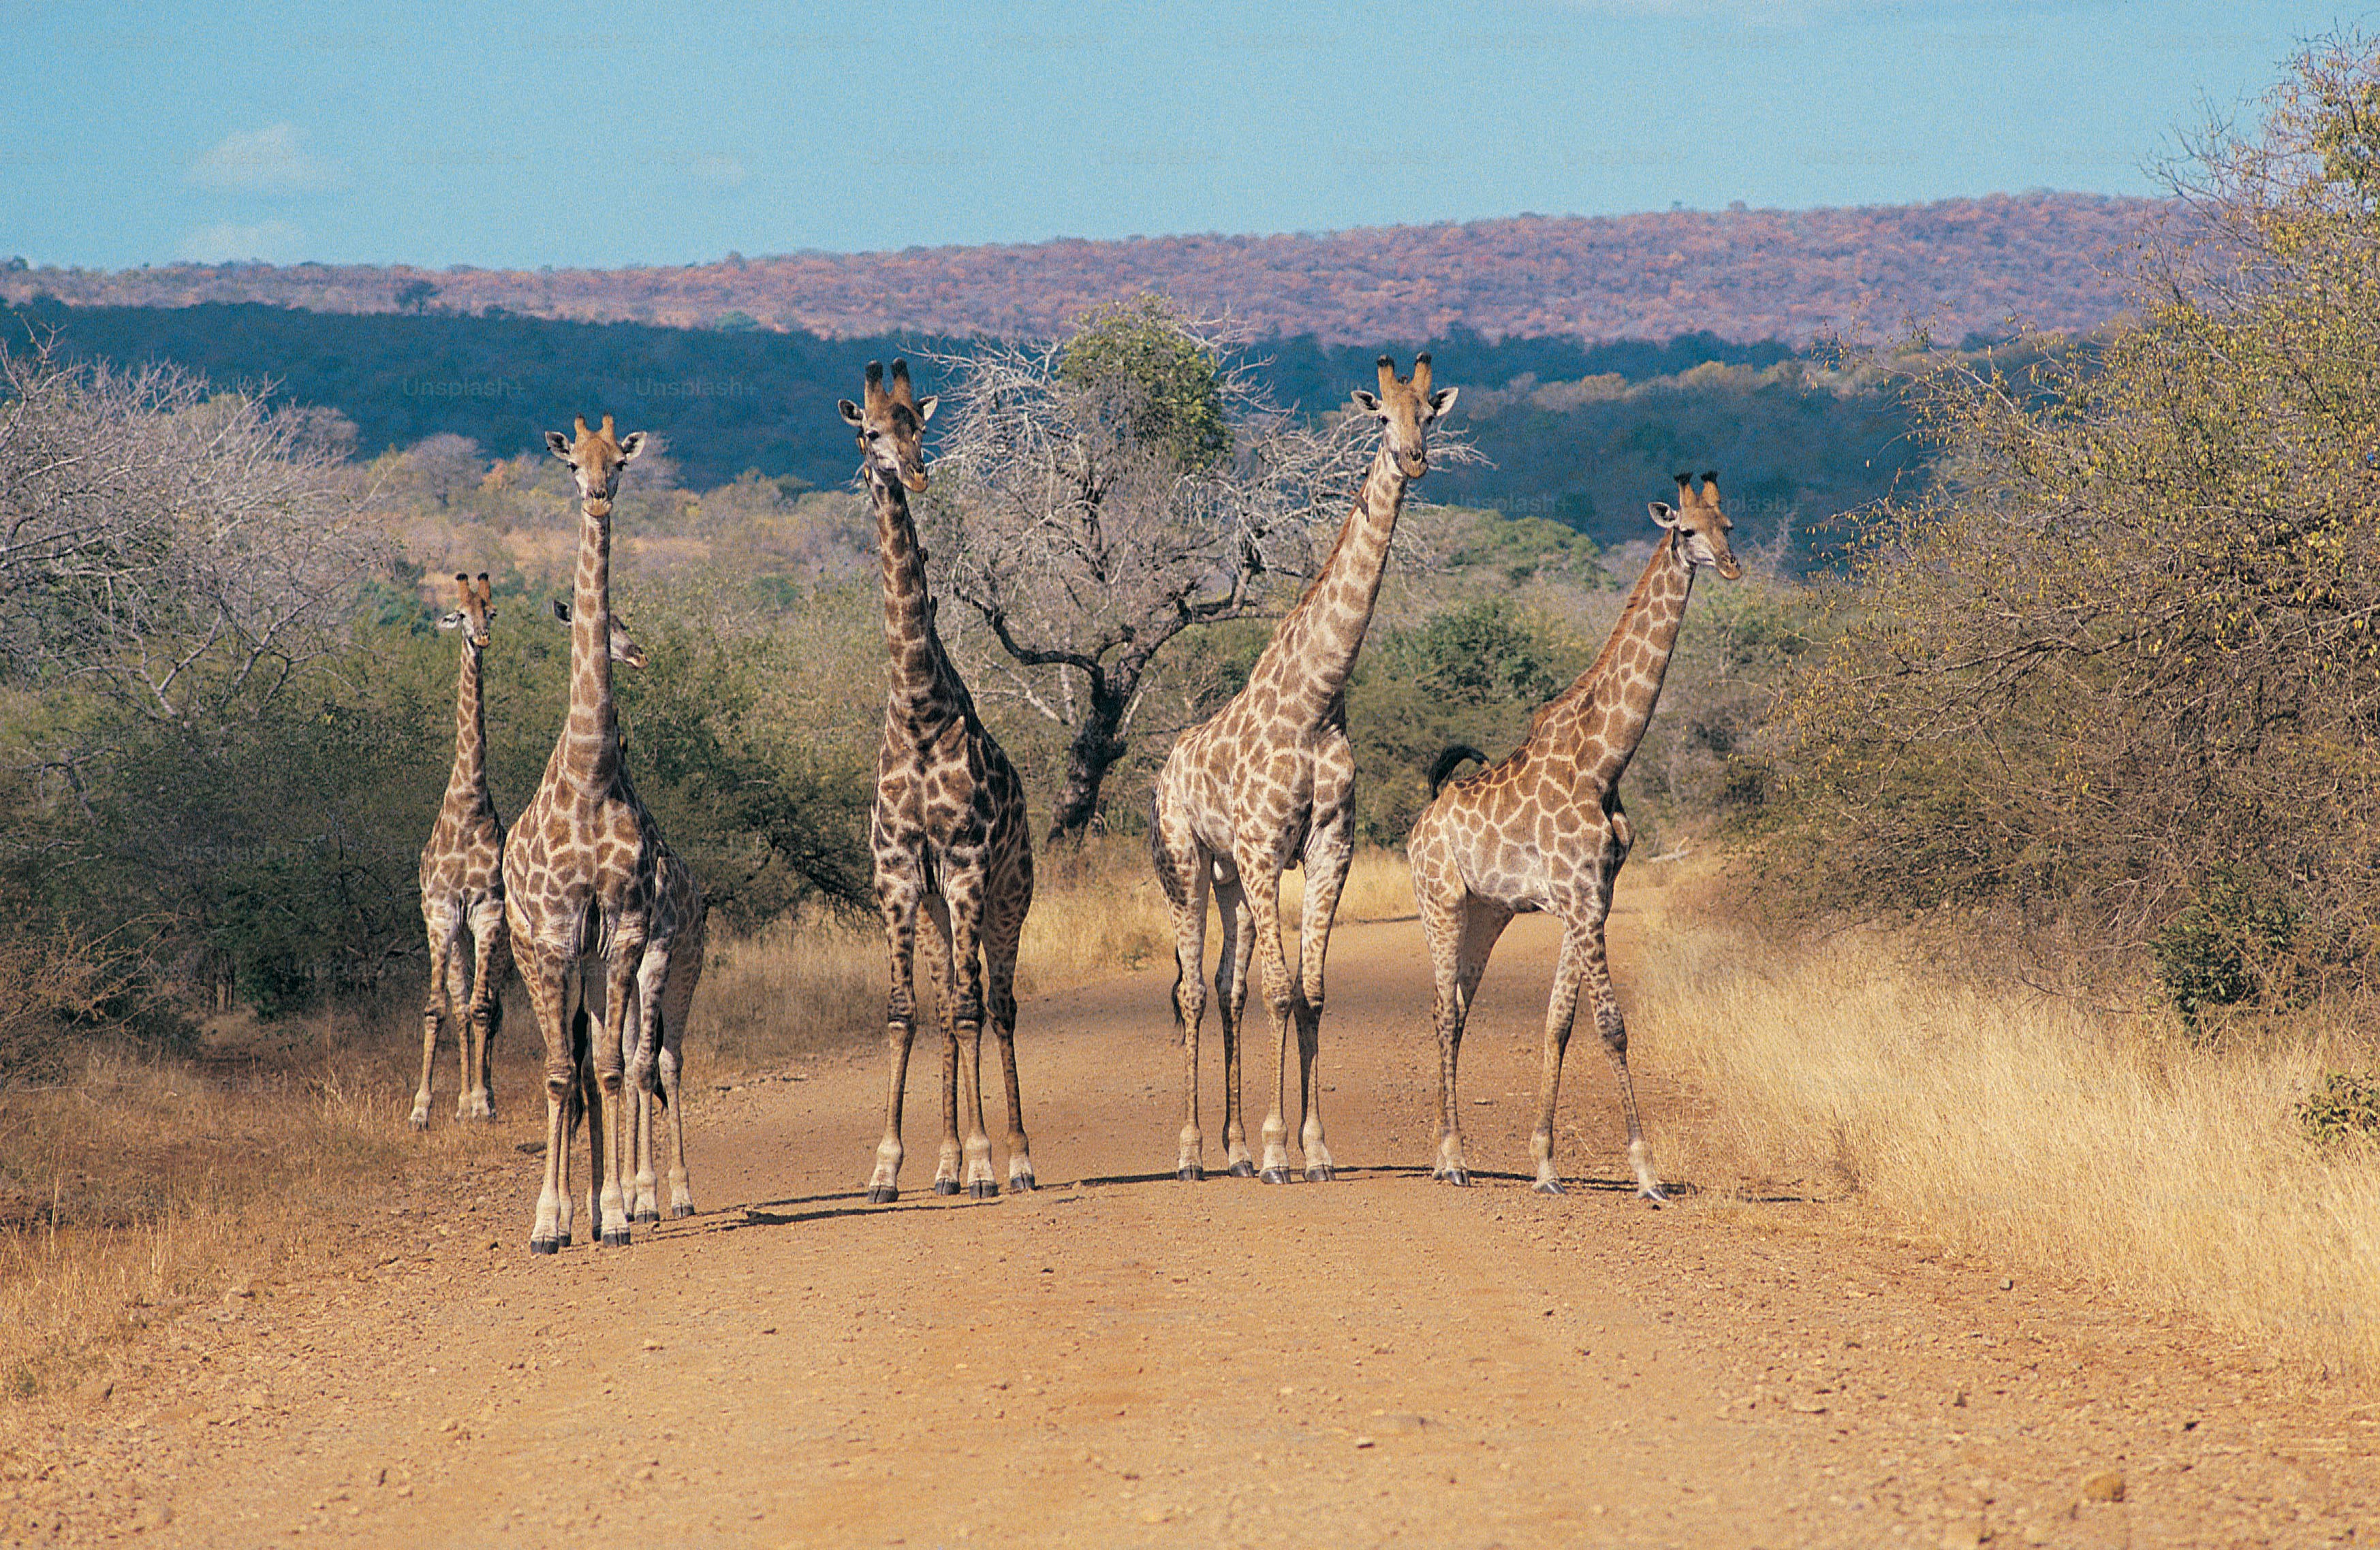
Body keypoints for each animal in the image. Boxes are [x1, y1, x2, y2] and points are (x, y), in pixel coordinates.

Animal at [1152, 353, 1458, 1184]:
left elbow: (1312, 991)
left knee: (1224, 987)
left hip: (1227, 876)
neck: (1317, 699)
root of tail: (1165, 767)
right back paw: (1192, 1152)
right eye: (1380, 416)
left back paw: (1226, 1150)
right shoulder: (1265, 848)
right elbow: (1280, 992)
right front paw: (1276, 1149)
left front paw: (1314, 1148)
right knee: (1193, 993)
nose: (1414, 458)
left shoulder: (1328, 846)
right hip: (1186, 863)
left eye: (1431, 412)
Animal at [1406, 472, 1741, 1199]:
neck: (1603, 760)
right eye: (1686, 531)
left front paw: (1545, 1165)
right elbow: (1611, 1028)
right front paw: (1647, 1172)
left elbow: (1559, 1023)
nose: (1732, 565)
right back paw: (1452, 1158)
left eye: (1729, 523)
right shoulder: (1582, 902)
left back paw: (1448, 1154)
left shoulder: (1591, 900)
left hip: (1488, 912)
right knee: (1441, 1011)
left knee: (1458, 1011)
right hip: (1440, 900)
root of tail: (1422, 818)